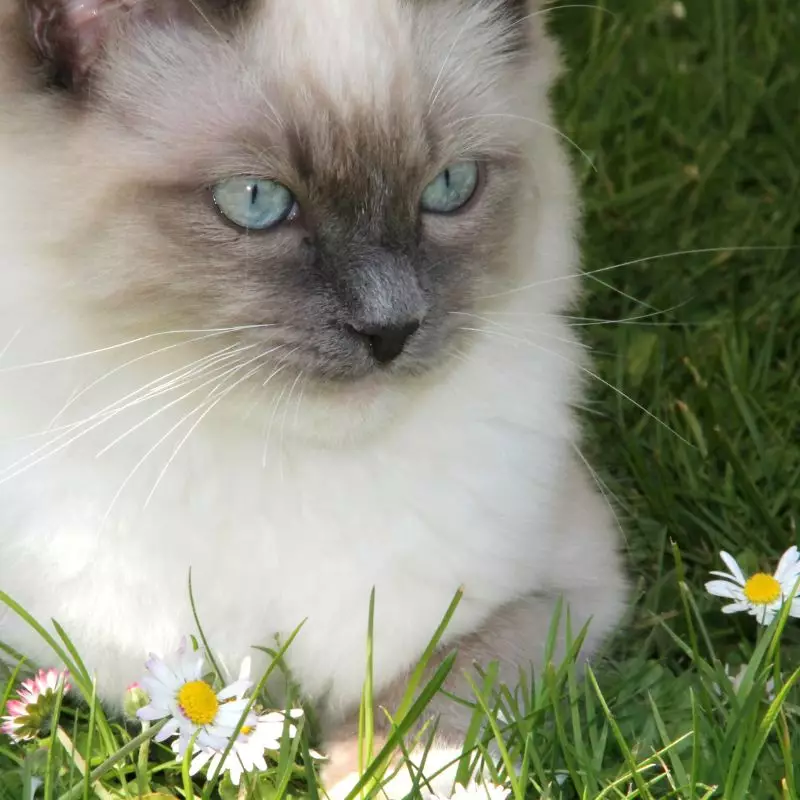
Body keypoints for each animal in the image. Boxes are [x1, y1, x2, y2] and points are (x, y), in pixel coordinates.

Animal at [0, 0, 624, 792]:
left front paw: (392, 780)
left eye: (451, 187)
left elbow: (433, 703)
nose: (390, 329)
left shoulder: (563, 592)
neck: (280, 464)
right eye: (256, 202)